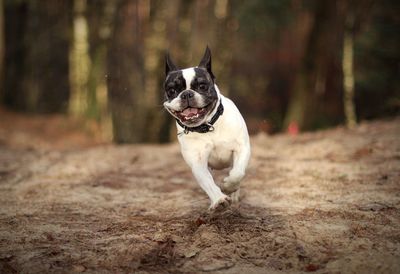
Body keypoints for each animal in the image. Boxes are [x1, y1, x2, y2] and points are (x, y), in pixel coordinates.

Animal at [162, 46, 250, 211]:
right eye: (172, 91)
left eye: (202, 86)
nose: (186, 94)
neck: (208, 126)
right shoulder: (198, 163)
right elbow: (207, 182)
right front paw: (219, 200)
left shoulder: (242, 148)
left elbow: (237, 173)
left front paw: (228, 186)